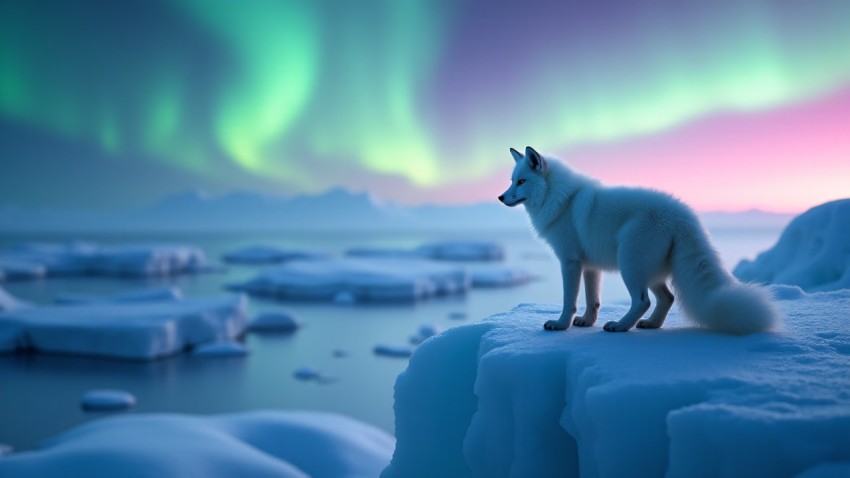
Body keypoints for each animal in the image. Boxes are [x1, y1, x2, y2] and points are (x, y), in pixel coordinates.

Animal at [496, 146, 780, 336]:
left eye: (522, 181)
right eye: (512, 181)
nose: (500, 197)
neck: (562, 199)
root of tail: (683, 216)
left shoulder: (570, 261)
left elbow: (570, 300)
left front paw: (560, 324)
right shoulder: (590, 266)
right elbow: (592, 300)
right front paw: (587, 322)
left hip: (630, 264)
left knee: (643, 301)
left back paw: (621, 326)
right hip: (649, 271)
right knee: (667, 298)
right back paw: (651, 325)